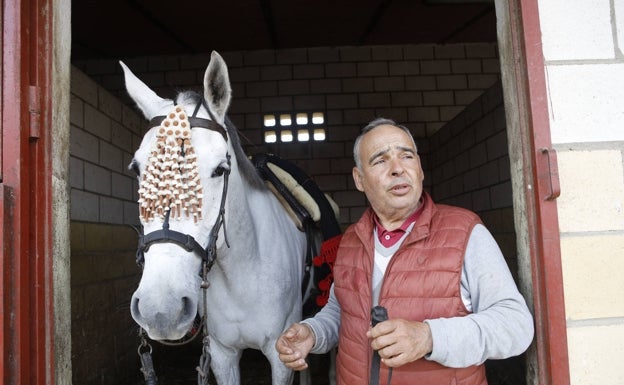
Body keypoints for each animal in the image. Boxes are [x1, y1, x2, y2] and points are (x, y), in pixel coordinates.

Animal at [123, 51, 334, 384]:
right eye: (137, 168)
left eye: (220, 169)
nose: (161, 310)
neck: (242, 273)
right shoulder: (222, 356)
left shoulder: (281, 357)